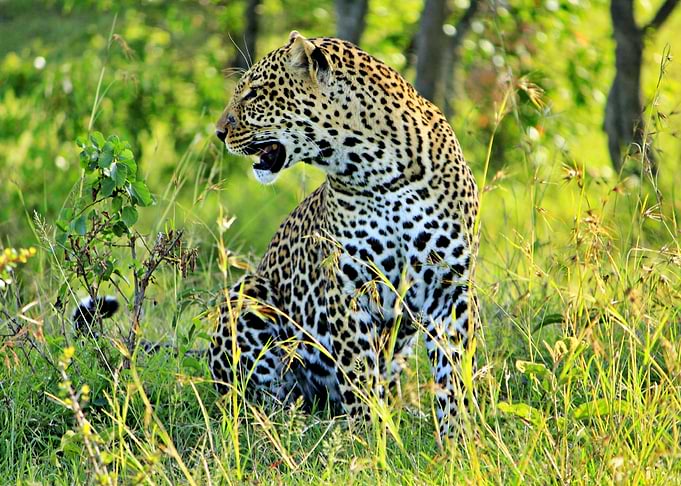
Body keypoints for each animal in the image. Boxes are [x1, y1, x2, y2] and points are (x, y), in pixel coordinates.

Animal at [213, 31, 479, 439]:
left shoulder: (449, 287)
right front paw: (369, 438)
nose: (219, 132)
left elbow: (454, 373)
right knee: (257, 398)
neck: (378, 170)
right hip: (247, 296)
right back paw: (290, 425)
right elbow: (358, 373)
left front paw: (458, 437)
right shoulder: (348, 288)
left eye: (254, 93)